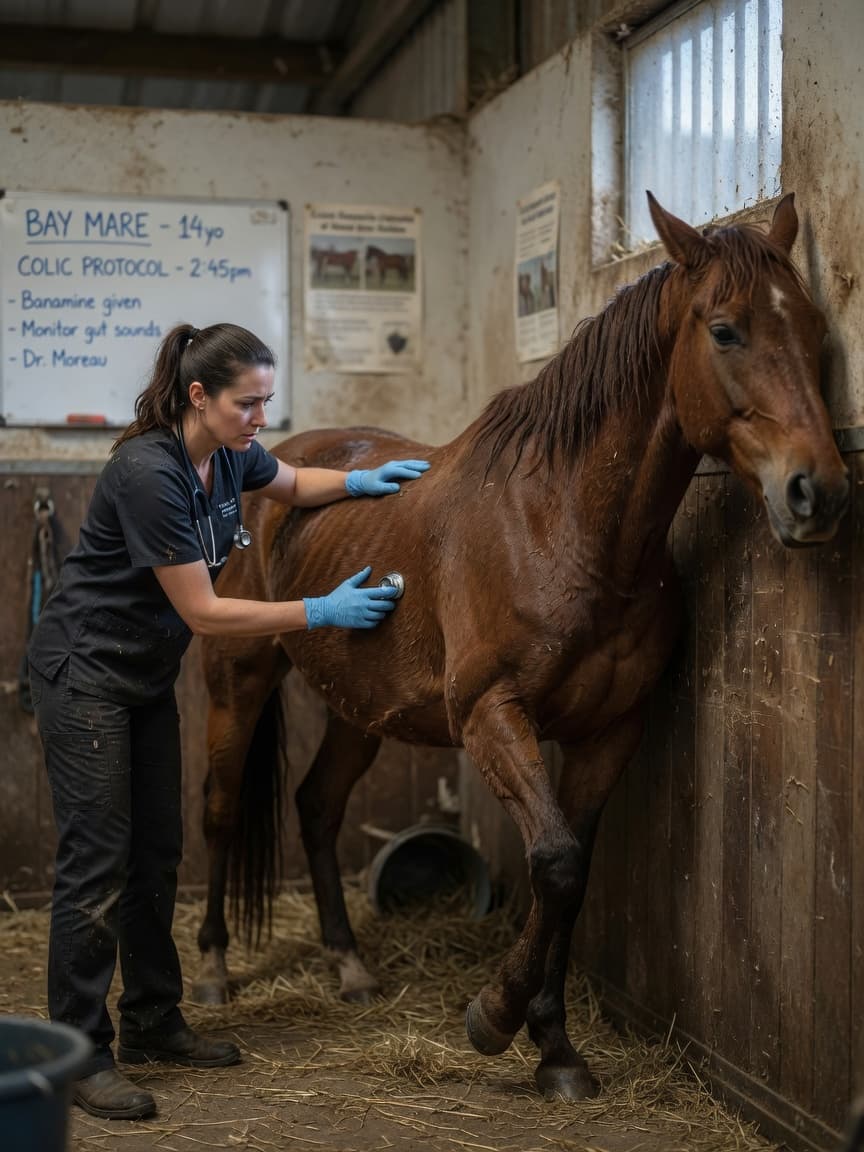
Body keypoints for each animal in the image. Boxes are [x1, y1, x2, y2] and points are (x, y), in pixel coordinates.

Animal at [192, 193, 848, 1100]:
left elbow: (568, 873)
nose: (817, 492)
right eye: (725, 331)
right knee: (221, 810)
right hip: (239, 677)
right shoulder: (490, 715)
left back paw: (351, 968)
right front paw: (495, 1018)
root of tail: (263, 465)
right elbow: (558, 863)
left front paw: (556, 1046)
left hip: (363, 708)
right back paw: (215, 971)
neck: (564, 526)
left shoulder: (609, 732)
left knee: (318, 808)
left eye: (815, 325)